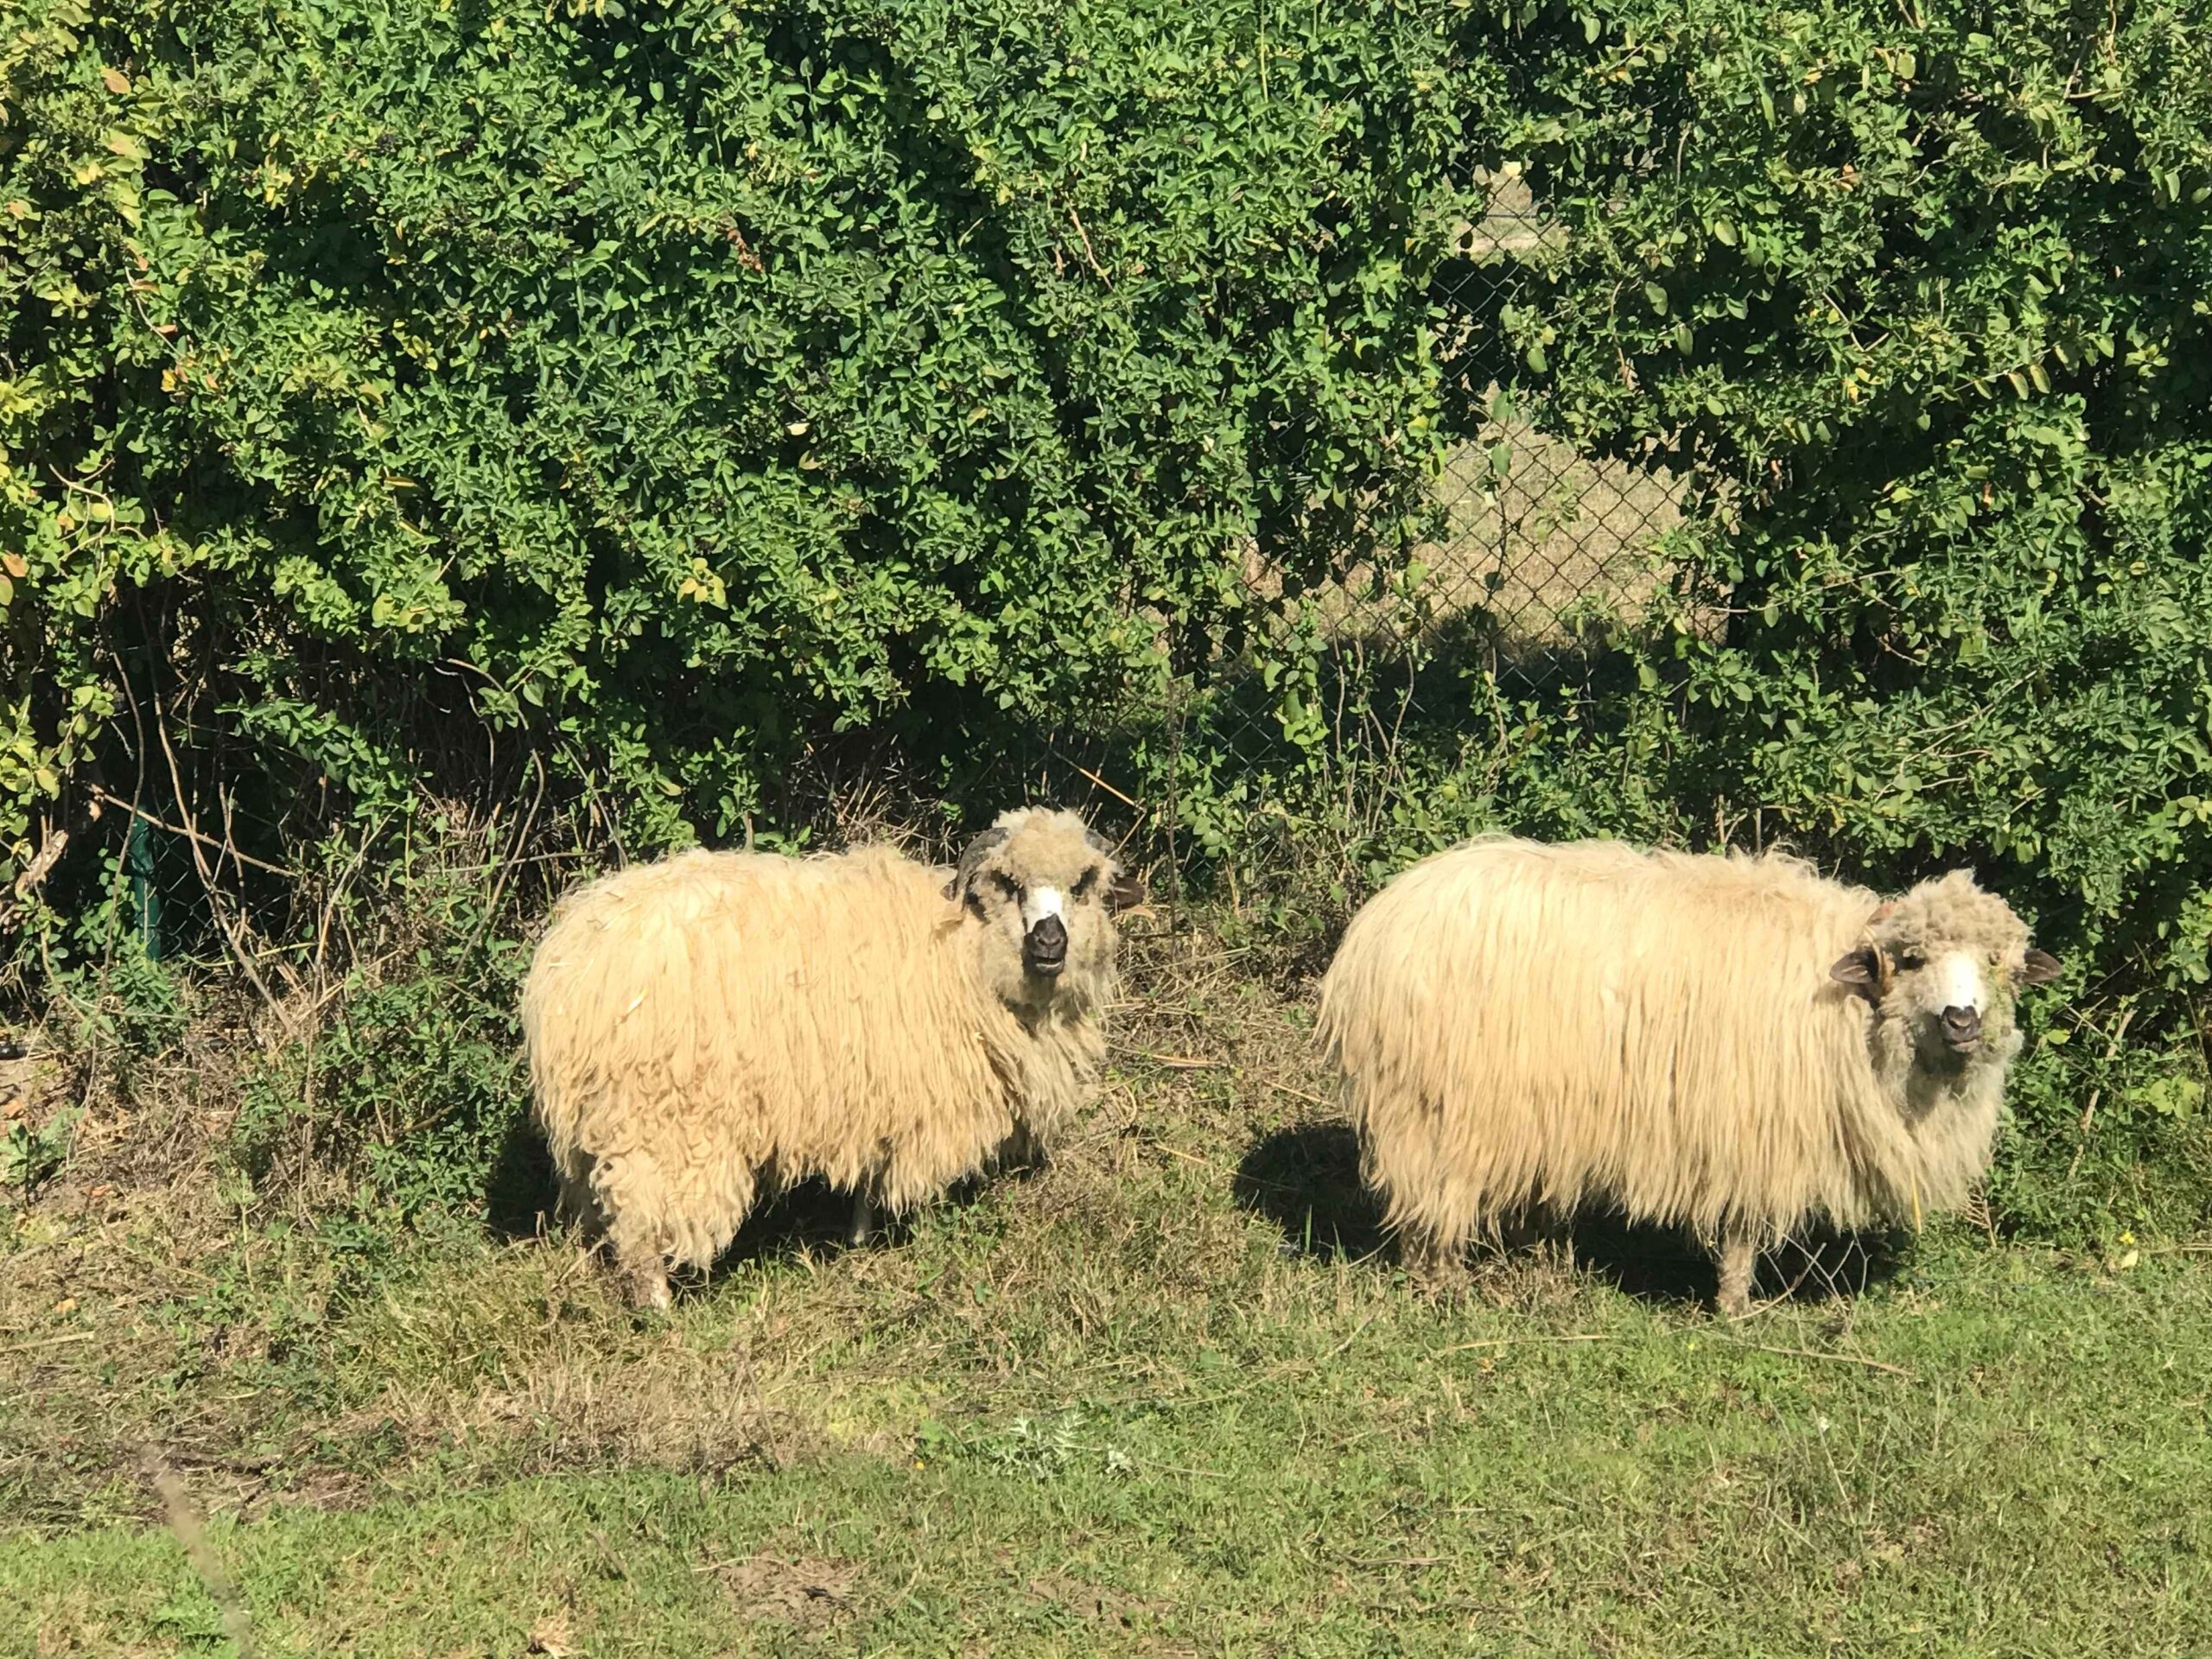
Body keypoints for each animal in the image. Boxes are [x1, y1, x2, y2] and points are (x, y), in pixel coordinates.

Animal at [520, 807, 1144, 1309]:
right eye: (1008, 882)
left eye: (1084, 884)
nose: (1049, 943)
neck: (966, 952)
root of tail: (570, 964)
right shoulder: (917, 1094)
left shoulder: (874, 1095)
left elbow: (867, 1179)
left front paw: (859, 1240)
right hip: (662, 1119)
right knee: (641, 1216)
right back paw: (658, 1309)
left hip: (599, 1121)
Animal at [1315, 836, 2060, 1315]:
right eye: (1910, 960)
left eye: (1999, 963)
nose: (1962, 1019)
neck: (1848, 1016)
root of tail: (1372, 931)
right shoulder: (1753, 1130)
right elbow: (1743, 1232)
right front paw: (1734, 1309)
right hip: (1436, 1109)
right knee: (1430, 1202)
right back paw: (1440, 1287)